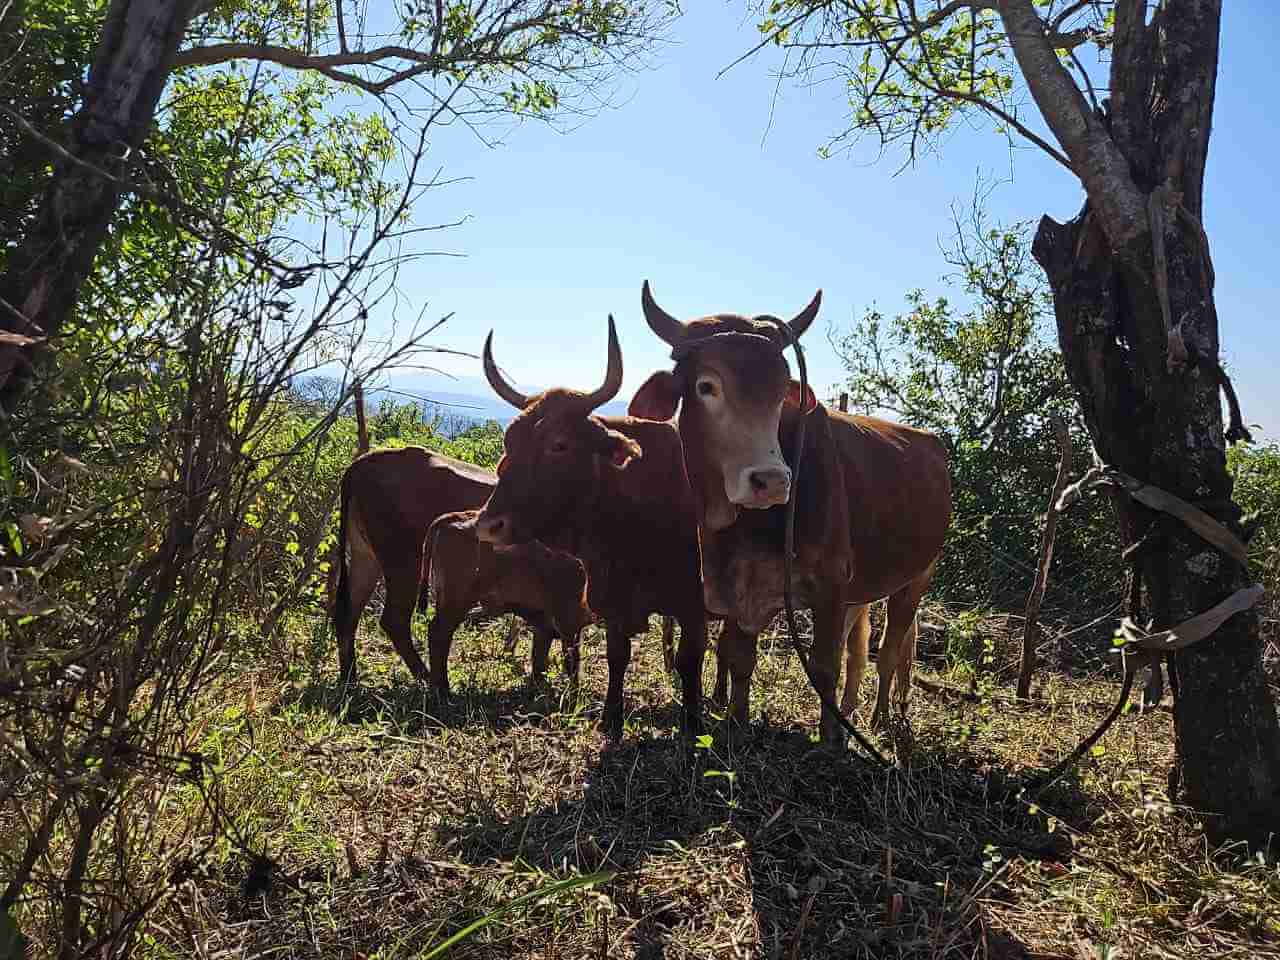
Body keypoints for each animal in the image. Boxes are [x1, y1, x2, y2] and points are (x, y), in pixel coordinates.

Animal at [427, 506, 591, 696]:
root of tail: (456, 517)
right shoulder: (568, 624)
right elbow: (571, 662)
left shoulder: (546, 625)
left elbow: (540, 658)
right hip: (456, 603)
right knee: (438, 633)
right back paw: (442, 689)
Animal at [476, 316, 742, 737]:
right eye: (510, 440)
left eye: (560, 443)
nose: (490, 525)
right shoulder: (614, 605)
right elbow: (617, 655)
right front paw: (611, 718)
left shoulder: (693, 607)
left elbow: (690, 661)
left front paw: (692, 721)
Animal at [629, 281, 952, 747]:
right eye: (707, 386)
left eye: (782, 389)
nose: (772, 481)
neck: (742, 526)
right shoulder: (737, 589)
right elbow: (739, 658)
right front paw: (737, 722)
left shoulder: (831, 586)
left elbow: (823, 667)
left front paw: (829, 743)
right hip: (864, 591)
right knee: (861, 651)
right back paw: (854, 712)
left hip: (917, 577)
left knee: (890, 652)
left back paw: (877, 718)